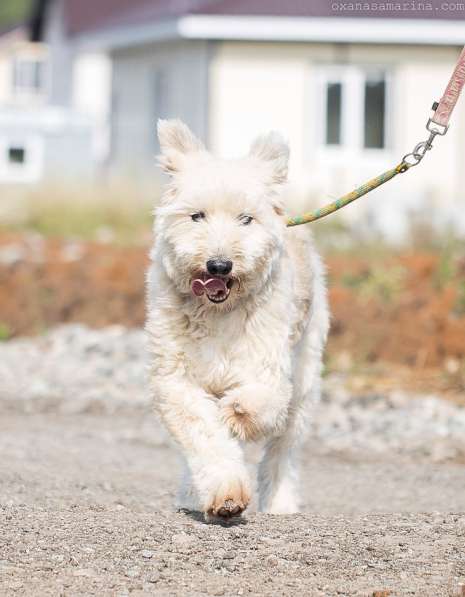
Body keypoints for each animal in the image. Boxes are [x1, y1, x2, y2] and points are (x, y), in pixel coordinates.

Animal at [147, 118, 328, 520]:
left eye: (246, 219)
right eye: (196, 215)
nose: (219, 265)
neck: (217, 314)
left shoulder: (268, 368)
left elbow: (256, 403)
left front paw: (237, 411)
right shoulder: (177, 382)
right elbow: (205, 436)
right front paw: (225, 494)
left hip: (305, 378)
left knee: (282, 452)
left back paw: (280, 503)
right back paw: (191, 494)